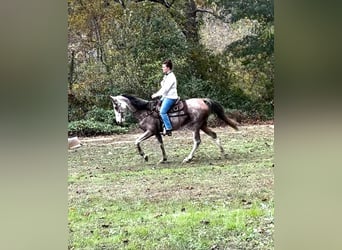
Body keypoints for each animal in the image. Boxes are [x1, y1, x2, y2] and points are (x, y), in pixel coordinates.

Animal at [109, 94, 238, 164]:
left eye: (115, 106)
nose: (118, 122)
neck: (145, 111)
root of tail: (203, 100)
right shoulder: (156, 133)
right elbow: (161, 144)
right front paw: (163, 159)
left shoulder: (150, 131)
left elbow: (136, 141)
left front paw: (144, 156)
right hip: (203, 125)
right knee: (214, 135)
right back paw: (223, 153)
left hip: (195, 126)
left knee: (197, 141)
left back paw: (188, 158)